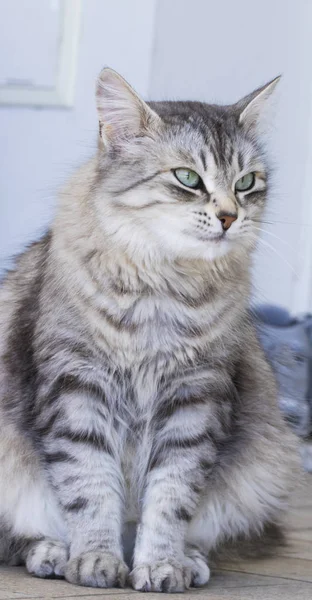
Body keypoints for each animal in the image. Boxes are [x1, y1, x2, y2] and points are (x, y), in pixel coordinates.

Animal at [0, 67, 298, 592]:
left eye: (246, 182)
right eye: (188, 178)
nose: (230, 217)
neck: (163, 291)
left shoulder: (195, 399)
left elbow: (170, 498)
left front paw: (161, 565)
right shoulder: (77, 388)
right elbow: (90, 488)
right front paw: (96, 560)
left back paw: (191, 560)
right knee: (21, 536)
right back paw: (53, 552)